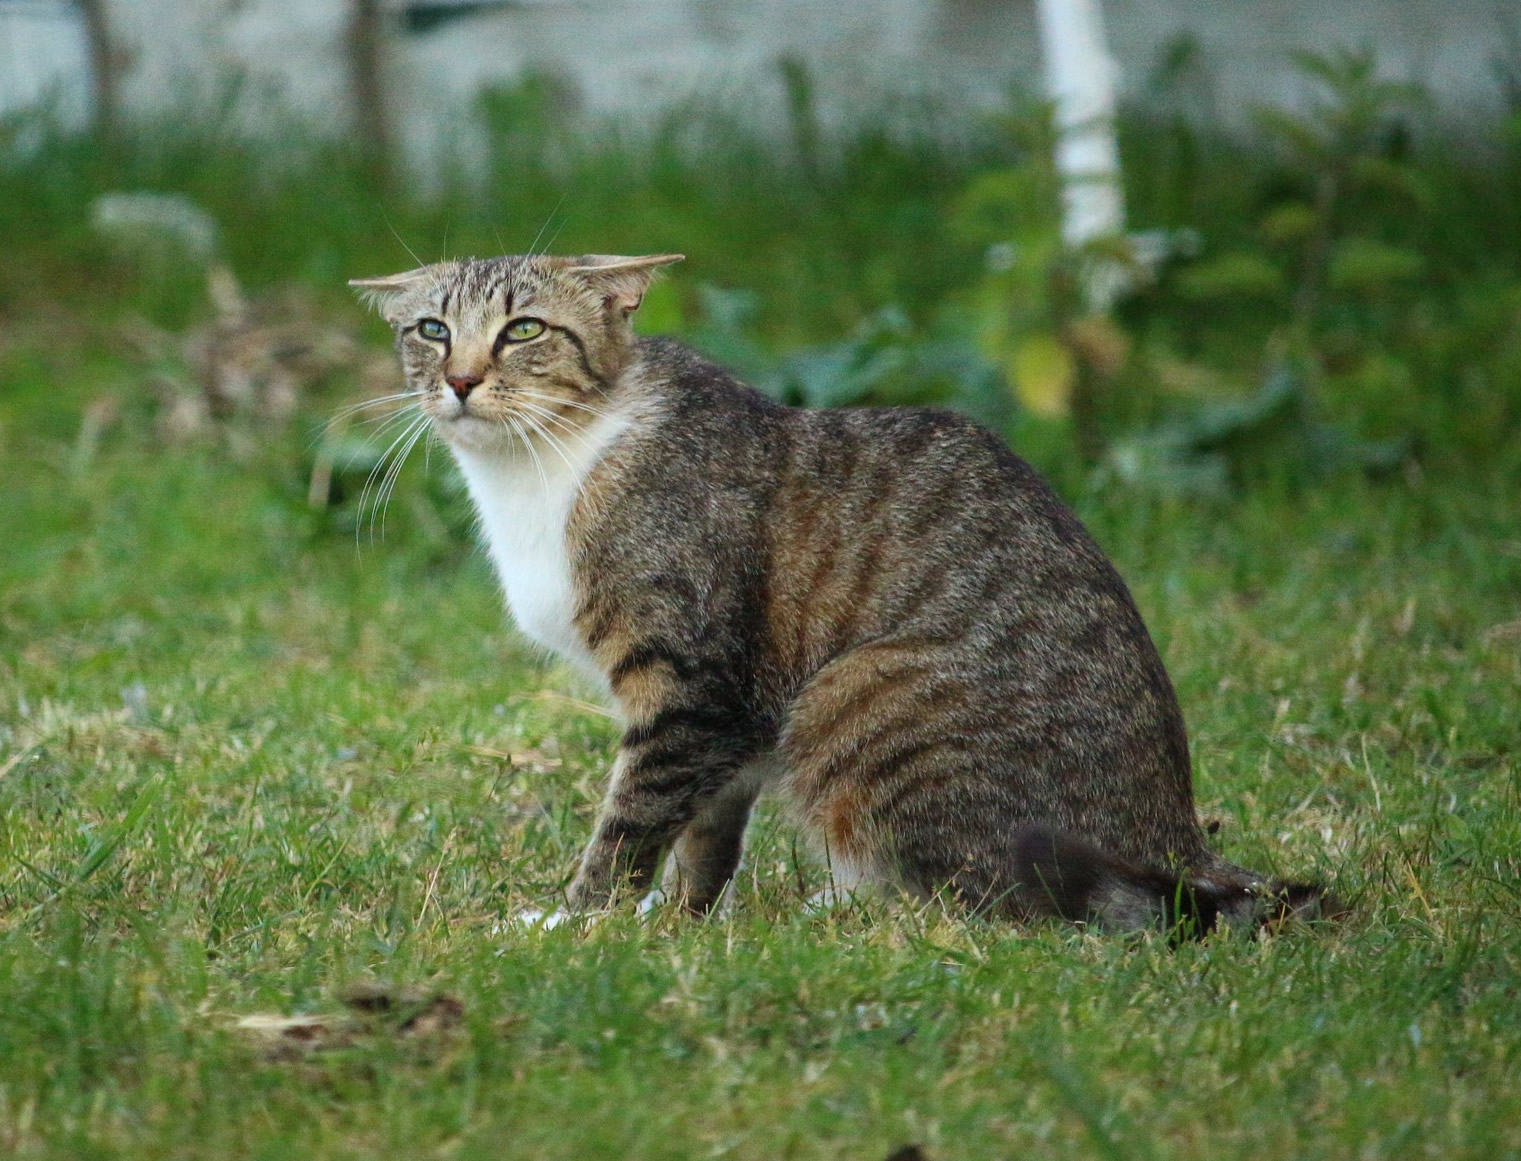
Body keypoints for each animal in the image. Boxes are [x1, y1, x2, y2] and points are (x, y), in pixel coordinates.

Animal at [349, 254, 1326, 937]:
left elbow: (630, 820)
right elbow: (703, 833)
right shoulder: (735, 719)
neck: (545, 461)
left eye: (523, 330)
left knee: (987, 903)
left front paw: (578, 919)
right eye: (432, 328)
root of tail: (1181, 844)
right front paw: (680, 919)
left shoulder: (689, 683)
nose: (460, 379)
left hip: (852, 695)